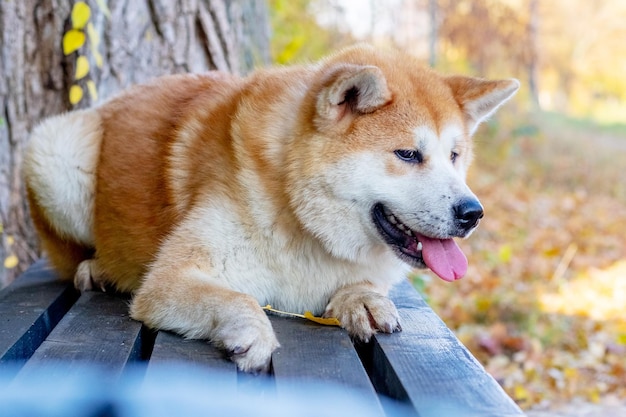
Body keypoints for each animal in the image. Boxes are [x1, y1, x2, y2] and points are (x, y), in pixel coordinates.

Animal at [23, 44, 516, 370]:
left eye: (455, 156)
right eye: (409, 155)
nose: (473, 213)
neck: (298, 213)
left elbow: (360, 284)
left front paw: (363, 298)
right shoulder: (170, 279)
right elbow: (238, 298)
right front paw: (251, 330)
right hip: (54, 151)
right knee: (70, 255)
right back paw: (97, 269)